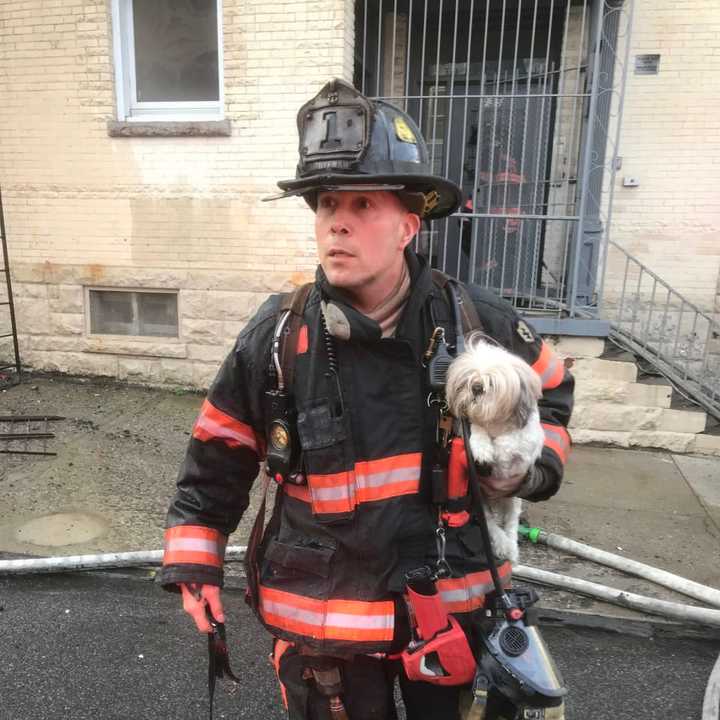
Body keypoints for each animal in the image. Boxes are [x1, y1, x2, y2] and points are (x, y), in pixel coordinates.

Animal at [448, 334, 544, 564]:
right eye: (467, 380)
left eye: (491, 383)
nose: (476, 387)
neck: (495, 425)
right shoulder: (470, 426)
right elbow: (477, 429)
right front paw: (483, 449)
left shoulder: (525, 446)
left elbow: (509, 443)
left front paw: (497, 449)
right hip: (481, 503)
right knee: (492, 527)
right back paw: (502, 546)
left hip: (512, 501)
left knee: (510, 526)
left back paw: (511, 549)